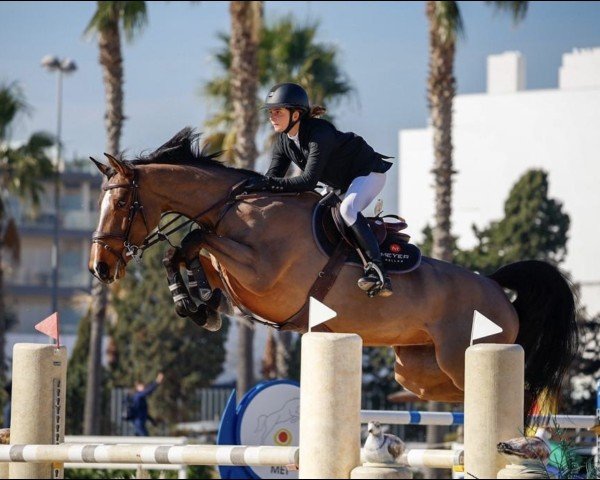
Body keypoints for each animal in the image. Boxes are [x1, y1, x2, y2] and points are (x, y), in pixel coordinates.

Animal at [88, 127, 576, 412]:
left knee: (517, 392)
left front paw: (196, 303)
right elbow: (189, 255)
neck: (236, 208)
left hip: (466, 356)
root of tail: (495, 287)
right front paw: (197, 305)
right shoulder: (235, 267)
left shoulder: (265, 277)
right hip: (419, 369)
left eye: (121, 204)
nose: (99, 268)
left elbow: (194, 242)